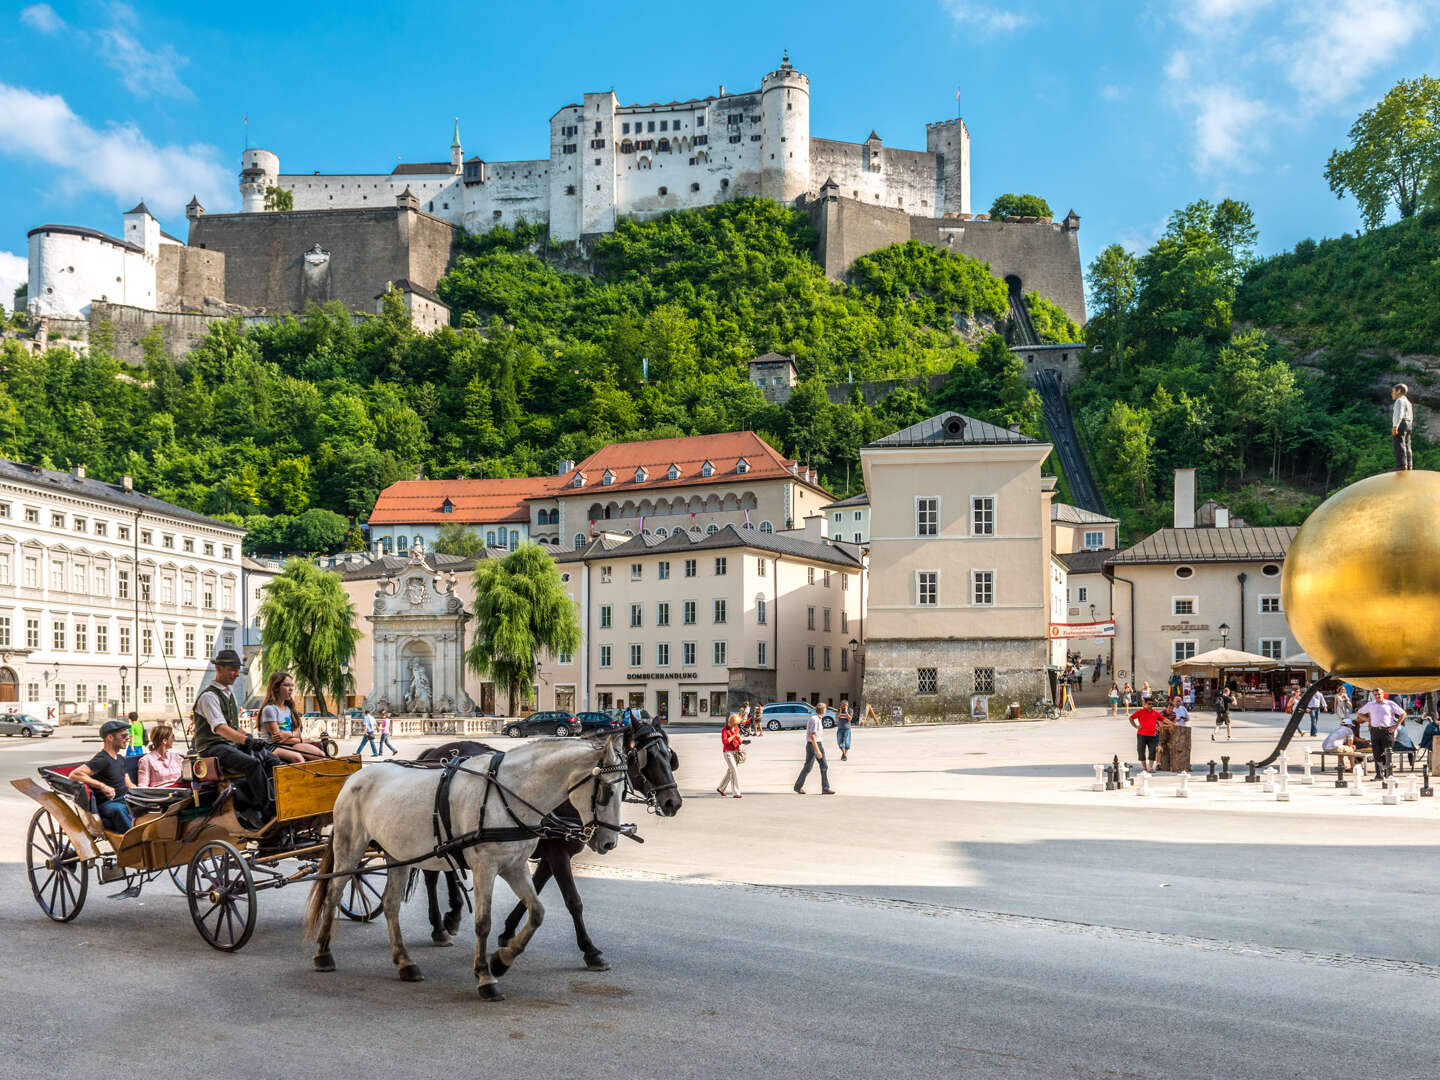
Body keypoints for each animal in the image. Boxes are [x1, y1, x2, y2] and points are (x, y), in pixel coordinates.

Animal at [306, 743, 627, 1002]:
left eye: (622, 791)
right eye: (606, 792)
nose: (609, 842)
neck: (510, 795)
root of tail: (355, 777)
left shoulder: (515, 866)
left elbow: (537, 912)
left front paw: (502, 960)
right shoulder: (486, 867)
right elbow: (483, 922)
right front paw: (486, 976)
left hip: (398, 853)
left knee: (391, 904)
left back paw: (405, 961)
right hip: (350, 846)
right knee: (333, 894)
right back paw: (323, 953)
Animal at [414, 728, 682, 973]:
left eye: (669, 756)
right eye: (647, 757)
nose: (674, 802)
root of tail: (436, 752)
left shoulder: (550, 856)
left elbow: (534, 890)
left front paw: (508, 932)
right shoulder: (557, 854)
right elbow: (573, 901)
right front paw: (590, 950)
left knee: (448, 867)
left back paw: (453, 914)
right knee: (430, 876)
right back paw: (439, 926)